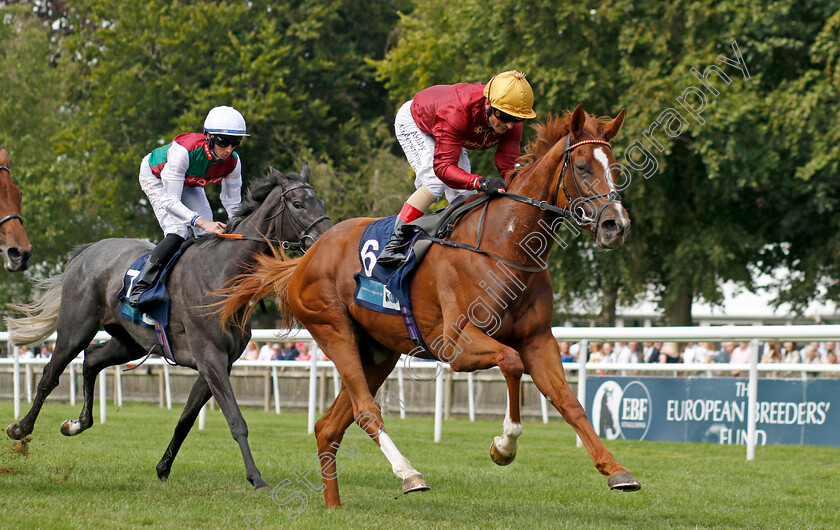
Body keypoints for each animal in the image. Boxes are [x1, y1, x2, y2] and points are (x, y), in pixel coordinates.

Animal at [5, 164, 332, 486]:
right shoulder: (210, 356)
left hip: (131, 341)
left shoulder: (218, 363)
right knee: (50, 374)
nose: (326, 237)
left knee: (92, 359)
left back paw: (76, 423)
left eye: (321, 202)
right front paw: (256, 477)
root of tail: (85, 251)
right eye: (298, 204)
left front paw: (163, 468)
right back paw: (20, 429)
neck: (221, 275)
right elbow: (236, 420)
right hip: (76, 327)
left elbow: (186, 419)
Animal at [220, 103, 640, 504]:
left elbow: (570, 402)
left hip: (377, 351)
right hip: (333, 330)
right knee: (365, 411)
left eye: (616, 168)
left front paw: (617, 470)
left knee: (329, 426)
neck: (504, 245)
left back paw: (334, 506)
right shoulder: (456, 344)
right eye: (582, 167)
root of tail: (306, 257)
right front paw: (503, 446)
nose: (616, 226)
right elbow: (510, 362)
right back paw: (409, 475)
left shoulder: (538, 340)